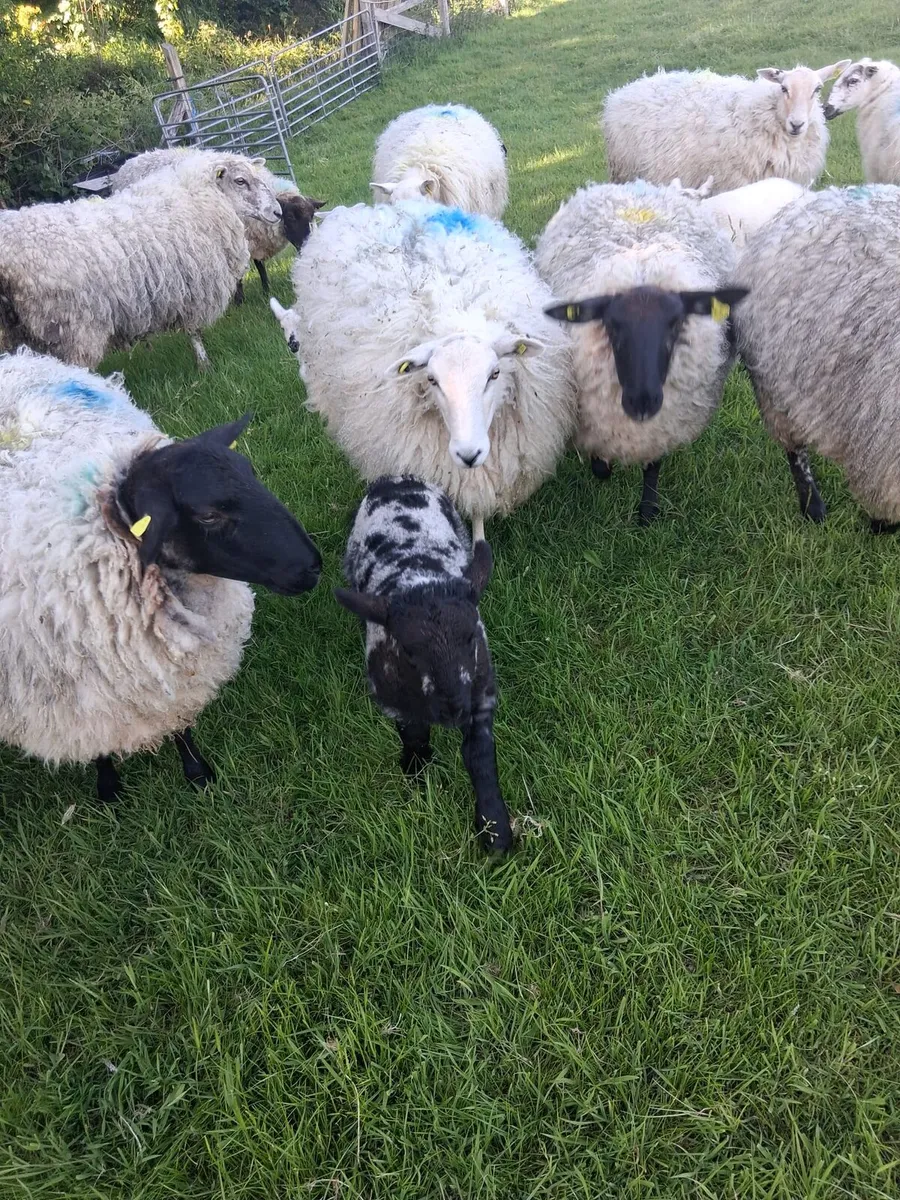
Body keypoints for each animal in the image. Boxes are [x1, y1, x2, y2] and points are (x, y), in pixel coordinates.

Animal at [0, 347, 321, 801]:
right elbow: (98, 745)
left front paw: (197, 771)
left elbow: (180, 723)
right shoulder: (84, 703)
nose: (314, 564)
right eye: (207, 514)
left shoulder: (174, 676)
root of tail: (16, 357)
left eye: (251, 472)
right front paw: (107, 785)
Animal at [110, 148, 324, 301]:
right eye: (291, 217)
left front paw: (266, 290)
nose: (308, 245)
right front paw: (239, 300)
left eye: (311, 216)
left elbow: (260, 266)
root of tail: (132, 161)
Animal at [335, 475, 511, 854]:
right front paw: (416, 770)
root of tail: (398, 478)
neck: (420, 577)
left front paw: (496, 831)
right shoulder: (393, 696)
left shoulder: (481, 694)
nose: (453, 710)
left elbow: (480, 755)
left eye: (472, 638)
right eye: (408, 651)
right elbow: (413, 734)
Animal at [535, 181, 748, 523]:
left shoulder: (661, 426)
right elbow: (600, 465)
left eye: (676, 324)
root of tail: (638, 186)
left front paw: (648, 511)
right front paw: (603, 467)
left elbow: (653, 464)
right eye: (612, 326)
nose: (642, 401)